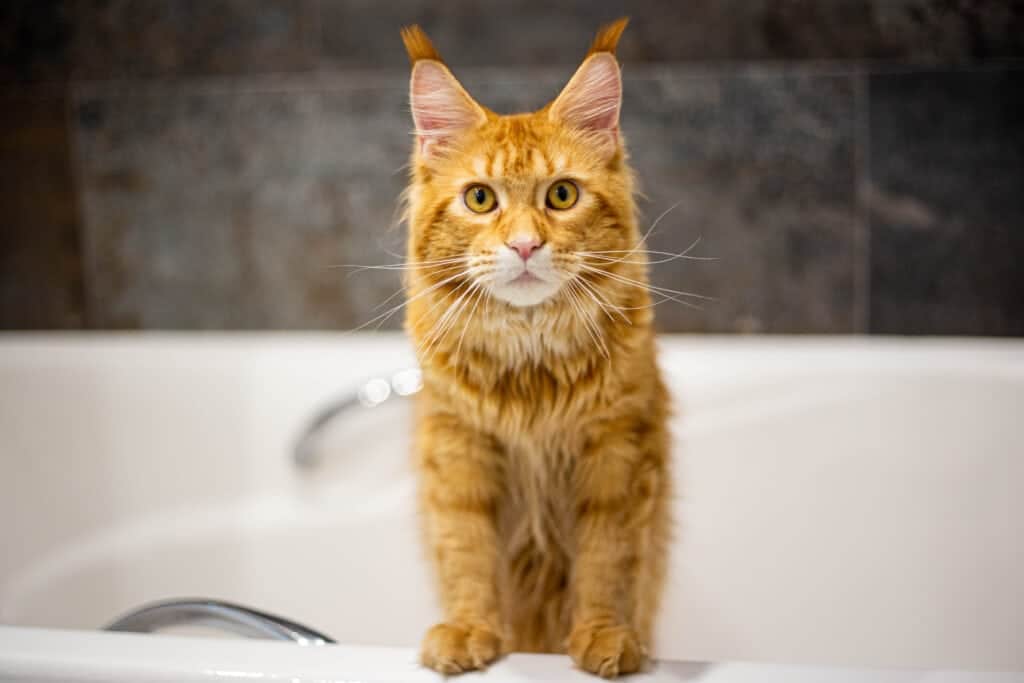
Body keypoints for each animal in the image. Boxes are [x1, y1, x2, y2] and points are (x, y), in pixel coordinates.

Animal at [399, 20, 671, 679]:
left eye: (562, 195)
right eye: (479, 199)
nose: (524, 245)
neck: (530, 364)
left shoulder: (618, 450)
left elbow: (608, 560)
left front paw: (605, 636)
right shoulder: (458, 447)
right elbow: (466, 552)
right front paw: (469, 630)